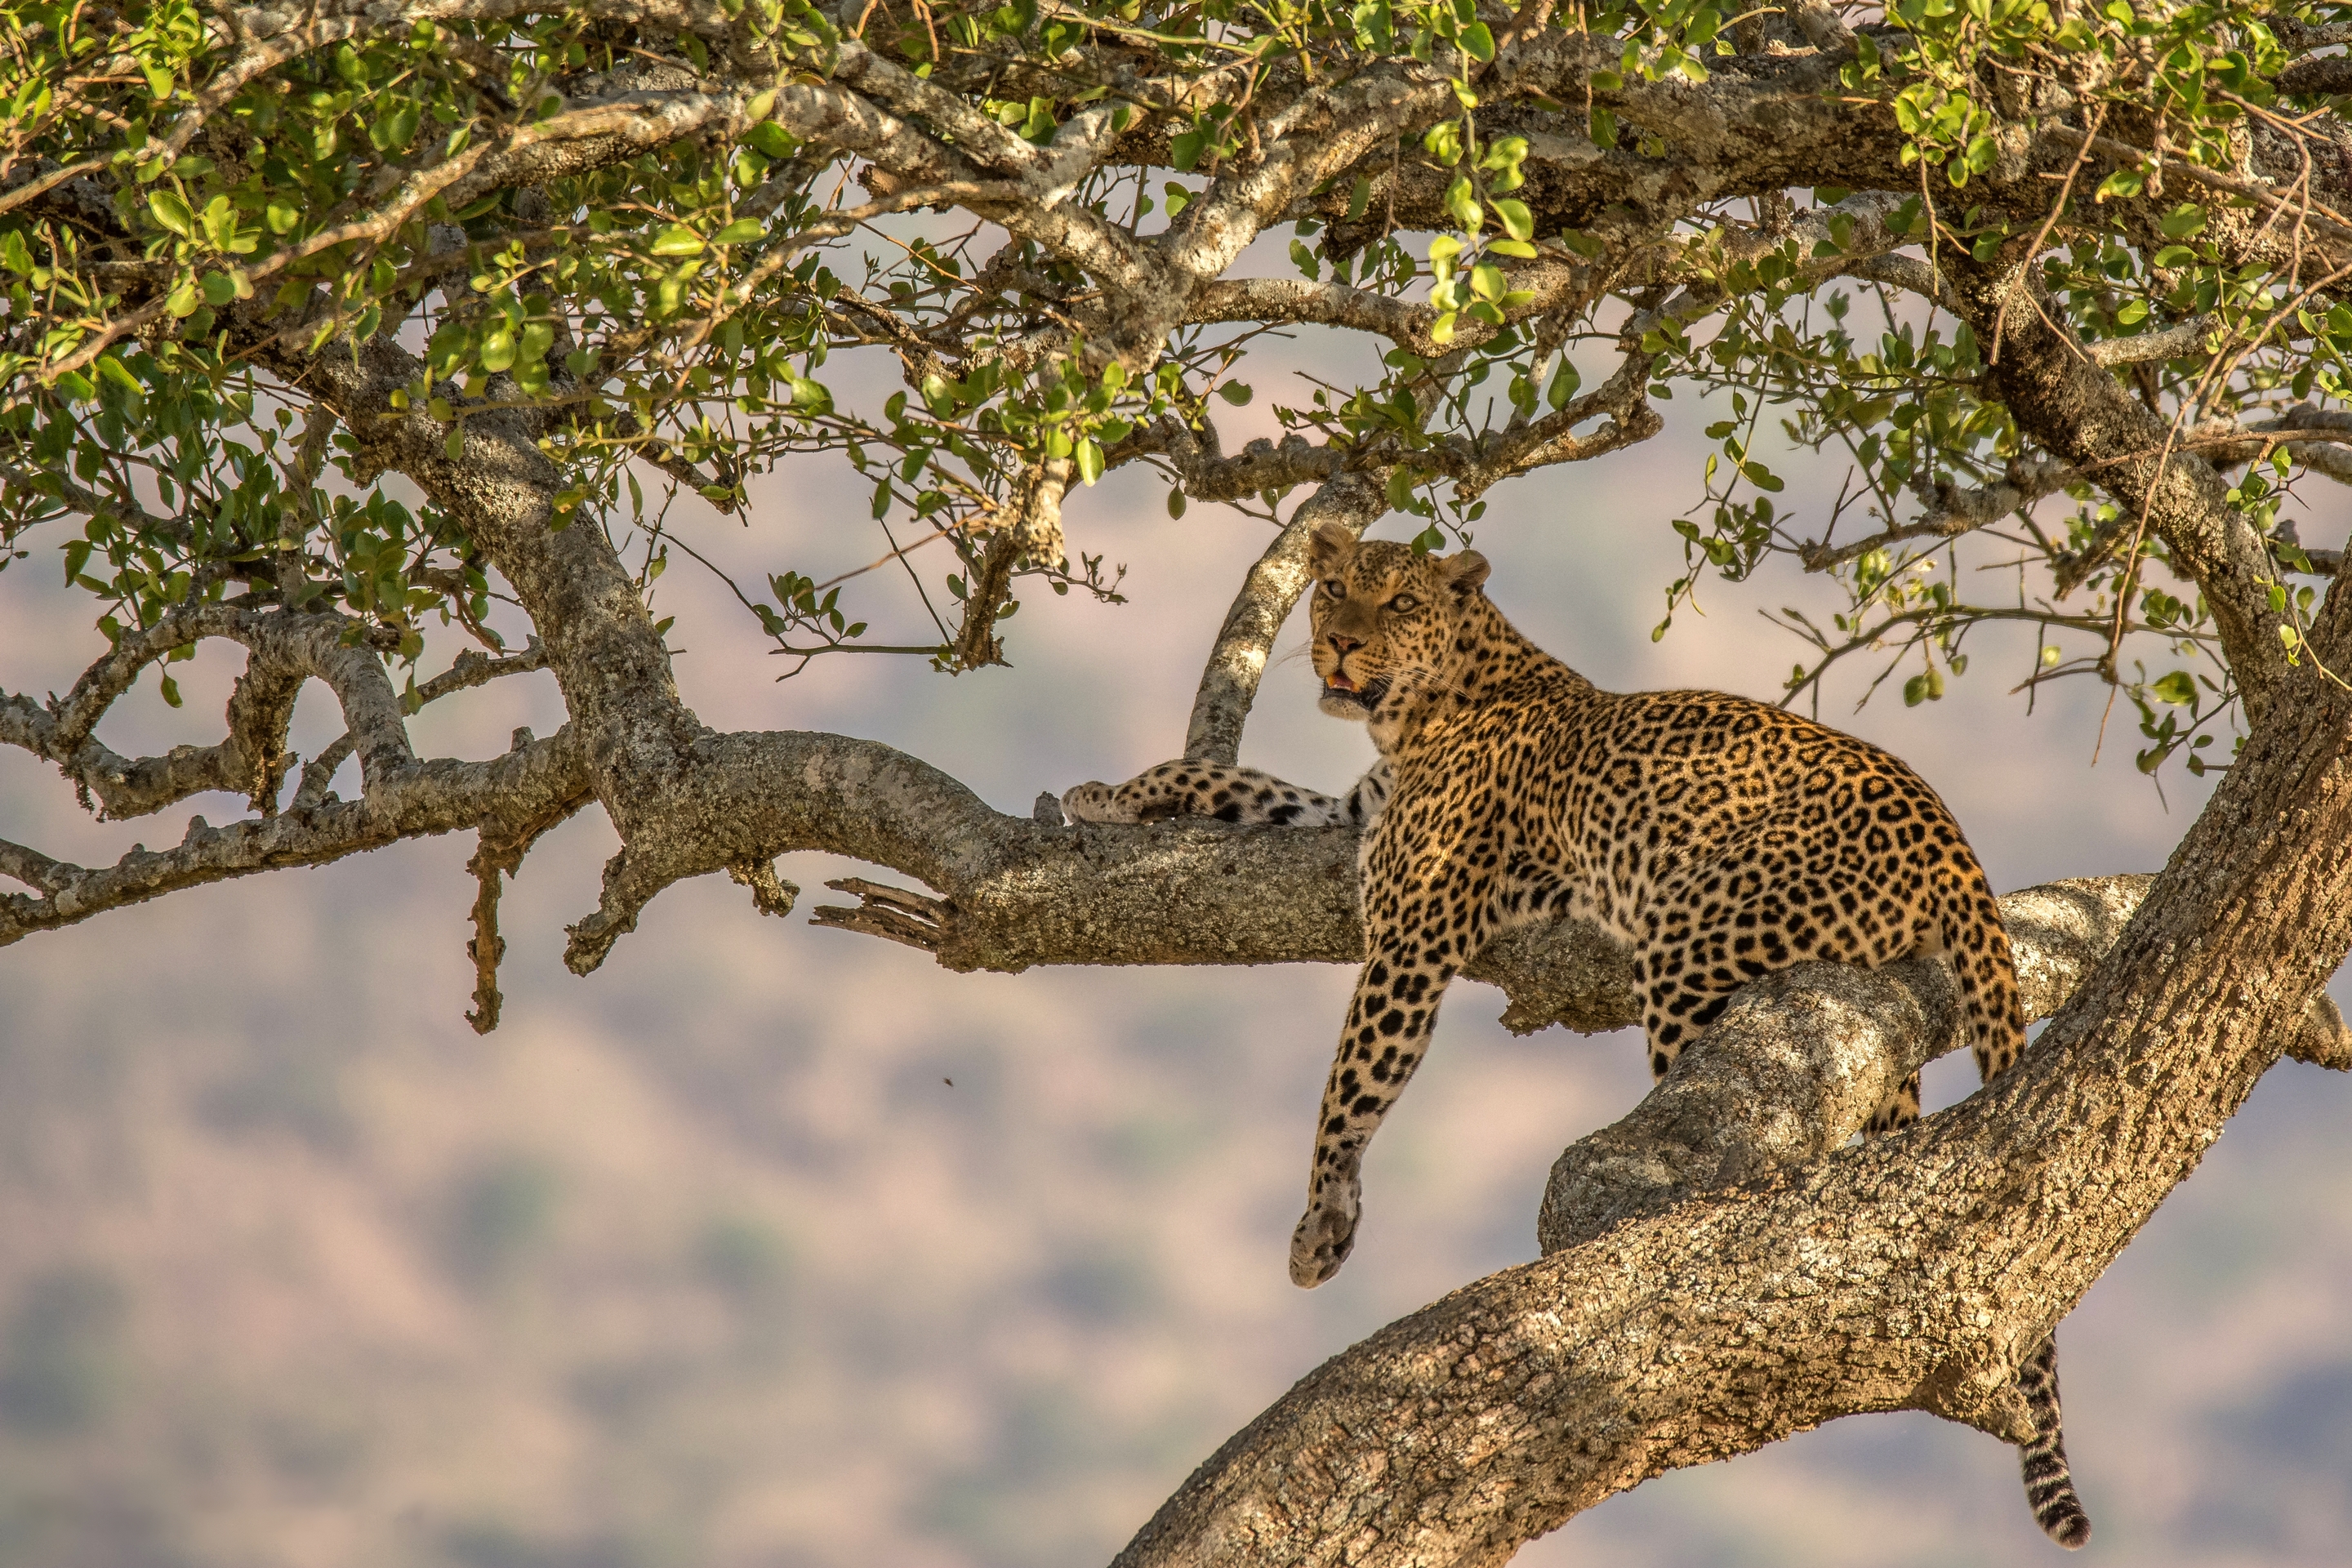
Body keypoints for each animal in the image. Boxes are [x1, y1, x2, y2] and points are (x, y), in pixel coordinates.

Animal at [1067, 531, 2097, 1561]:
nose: (1341, 647)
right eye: (1331, 590)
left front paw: (1324, 1219)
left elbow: (1353, 1080)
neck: (1422, 711)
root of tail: (1949, 833)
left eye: (1398, 602)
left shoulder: (1410, 939)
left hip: (1691, 943)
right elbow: (1234, 784)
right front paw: (1109, 796)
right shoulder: (1353, 815)